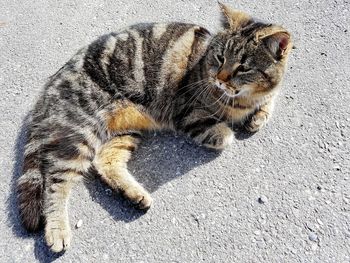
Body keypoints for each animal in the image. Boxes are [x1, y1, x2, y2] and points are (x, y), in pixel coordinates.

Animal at [17, 2, 292, 254]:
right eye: (220, 57)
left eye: (243, 67)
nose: (220, 78)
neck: (244, 99)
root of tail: (51, 83)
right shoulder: (187, 111)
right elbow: (221, 132)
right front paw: (225, 131)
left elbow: (271, 98)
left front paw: (259, 115)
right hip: (80, 134)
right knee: (55, 182)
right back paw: (57, 230)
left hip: (123, 131)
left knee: (104, 161)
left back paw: (134, 194)